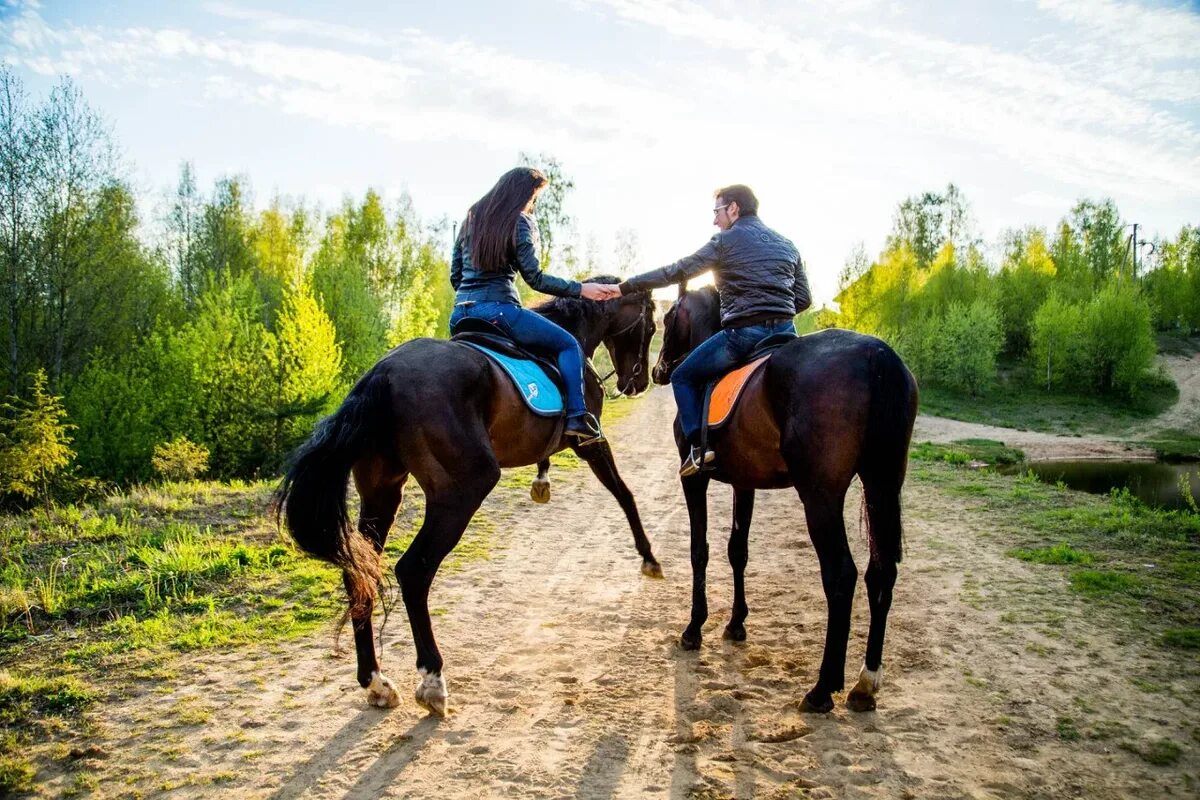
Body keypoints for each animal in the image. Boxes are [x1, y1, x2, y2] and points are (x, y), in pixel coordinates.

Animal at [277, 280, 662, 714]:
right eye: (651, 325)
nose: (637, 383)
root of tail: (382, 374)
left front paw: (542, 484)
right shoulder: (591, 442)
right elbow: (624, 493)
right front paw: (649, 557)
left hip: (382, 495)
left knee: (359, 571)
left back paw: (376, 682)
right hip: (461, 491)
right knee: (413, 571)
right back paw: (432, 679)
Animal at [652, 286, 912, 714]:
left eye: (668, 317)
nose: (658, 371)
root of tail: (877, 356)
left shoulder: (696, 480)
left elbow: (699, 550)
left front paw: (694, 629)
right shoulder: (744, 483)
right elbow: (737, 550)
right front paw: (736, 623)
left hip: (821, 497)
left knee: (841, 575)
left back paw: (822, 688)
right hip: (881, 484)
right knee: (881, 571)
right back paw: (865, 683)